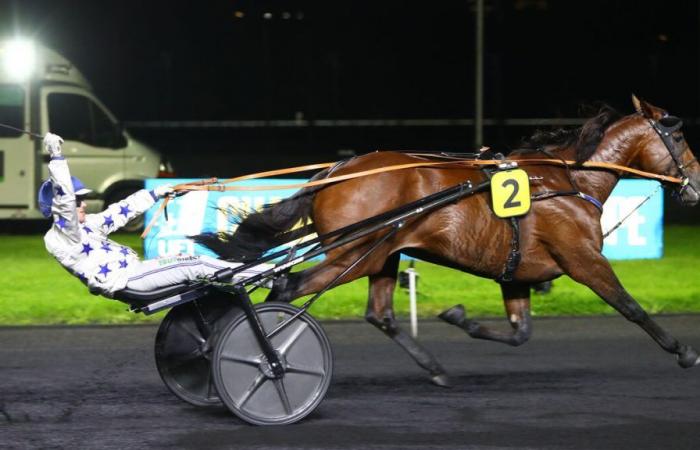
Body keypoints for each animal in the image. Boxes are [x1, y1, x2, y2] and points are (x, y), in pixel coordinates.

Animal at [194, 97, 700, 386]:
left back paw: (435, 369)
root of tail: (336, 171)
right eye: (677, 133)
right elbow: (631, 307)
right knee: (286, 288)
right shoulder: (583, 258)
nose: (695, 182)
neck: (568, 181)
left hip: (382, 253)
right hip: (354, 253)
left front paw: (460, 317)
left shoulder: (516, 272)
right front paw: (684, 352)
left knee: (379, 313)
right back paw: (263, 352)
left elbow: (520, 332)